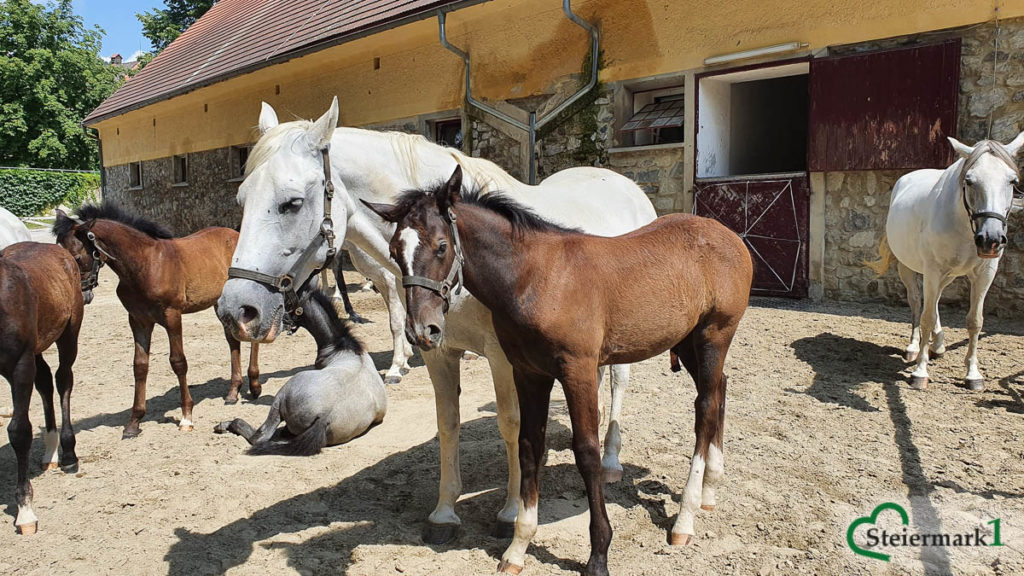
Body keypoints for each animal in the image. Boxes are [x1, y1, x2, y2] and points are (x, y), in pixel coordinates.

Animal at [0, 239, 82, 532]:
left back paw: (68, 453)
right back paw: (50, 452)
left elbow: (19, 431)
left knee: (63, 379)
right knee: (45, 381)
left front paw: (25, 510)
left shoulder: (19, 365)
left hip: (68, 333)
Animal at [54, 201, 260, 434]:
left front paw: (186, 417)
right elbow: (140, 365)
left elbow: (178, 362)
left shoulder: (172, 316)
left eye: (77, 258)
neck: (145, 264)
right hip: (220, 302)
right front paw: (134, 422)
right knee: (233, 339)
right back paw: (233, 392)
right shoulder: (138, 320)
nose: (81, 296)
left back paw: (254, 386)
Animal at [219, 96, 659, 541]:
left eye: (292, 202)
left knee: (619, 382)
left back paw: (610, 461)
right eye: (241, 200)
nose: (236, 309)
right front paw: (444, 513)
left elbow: (511, 424)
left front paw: (510, 512)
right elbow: (448, 423)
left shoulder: (503, 358)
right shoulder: (437, 350)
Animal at [368, 166, 753, 573]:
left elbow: (586, 452)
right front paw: (517, 548)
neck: (535, 277)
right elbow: (527, 444)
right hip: (687, 340)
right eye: (394, 252)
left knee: (705, 408)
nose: (421, 331)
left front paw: (598, 554)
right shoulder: (528, 372)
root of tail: (729, 236)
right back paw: (710, 490)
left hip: (714, 335)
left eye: (442, 246)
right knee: (720, 389)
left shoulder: (577, 370)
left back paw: (684, 520)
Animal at [864, 132, 1024, 387]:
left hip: (946, 274)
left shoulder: (985, 273)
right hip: (909, 268)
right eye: (969, 180)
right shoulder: (933, 270)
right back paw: (914, 347)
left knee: (936, 300)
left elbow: (975, 321)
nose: (990, 239)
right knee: (917, 302)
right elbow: (927, 317)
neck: (963, 225)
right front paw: (920, 372)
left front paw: (973, 374)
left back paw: (937, 345)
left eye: (1012, 181)